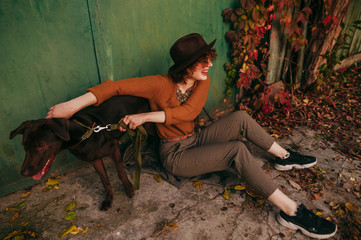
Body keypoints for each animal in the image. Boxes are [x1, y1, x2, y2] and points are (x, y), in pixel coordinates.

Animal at [9, 95, 155, 210]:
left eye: (41, 145)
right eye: (24, 146)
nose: (24, 173)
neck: (82, 134)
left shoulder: (113, 148)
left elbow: (120, 173)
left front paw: (129, 188)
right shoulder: (94, 159)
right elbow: (105, 180)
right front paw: (109, 198)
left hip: (146, 124)